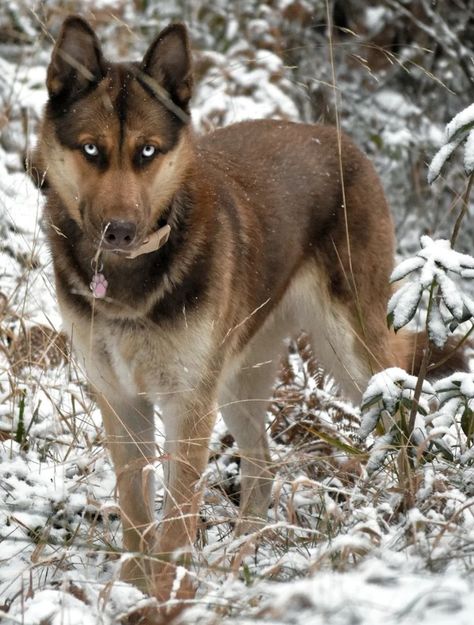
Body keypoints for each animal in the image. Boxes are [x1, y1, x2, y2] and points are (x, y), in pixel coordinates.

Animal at [36, 17, 408, 604]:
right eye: (92, 149)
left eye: (147, 152)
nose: (120, 232)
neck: (130, 280)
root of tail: (335, 135)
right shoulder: (121, 400)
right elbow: (136, 509)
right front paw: (134, 591)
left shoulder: (188, 403)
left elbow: (176, 516)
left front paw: (167, 596)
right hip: (238, 378)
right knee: (261, 468)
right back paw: (240, 557)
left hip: (349, 354)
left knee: (405, 412)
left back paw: (413, 513)